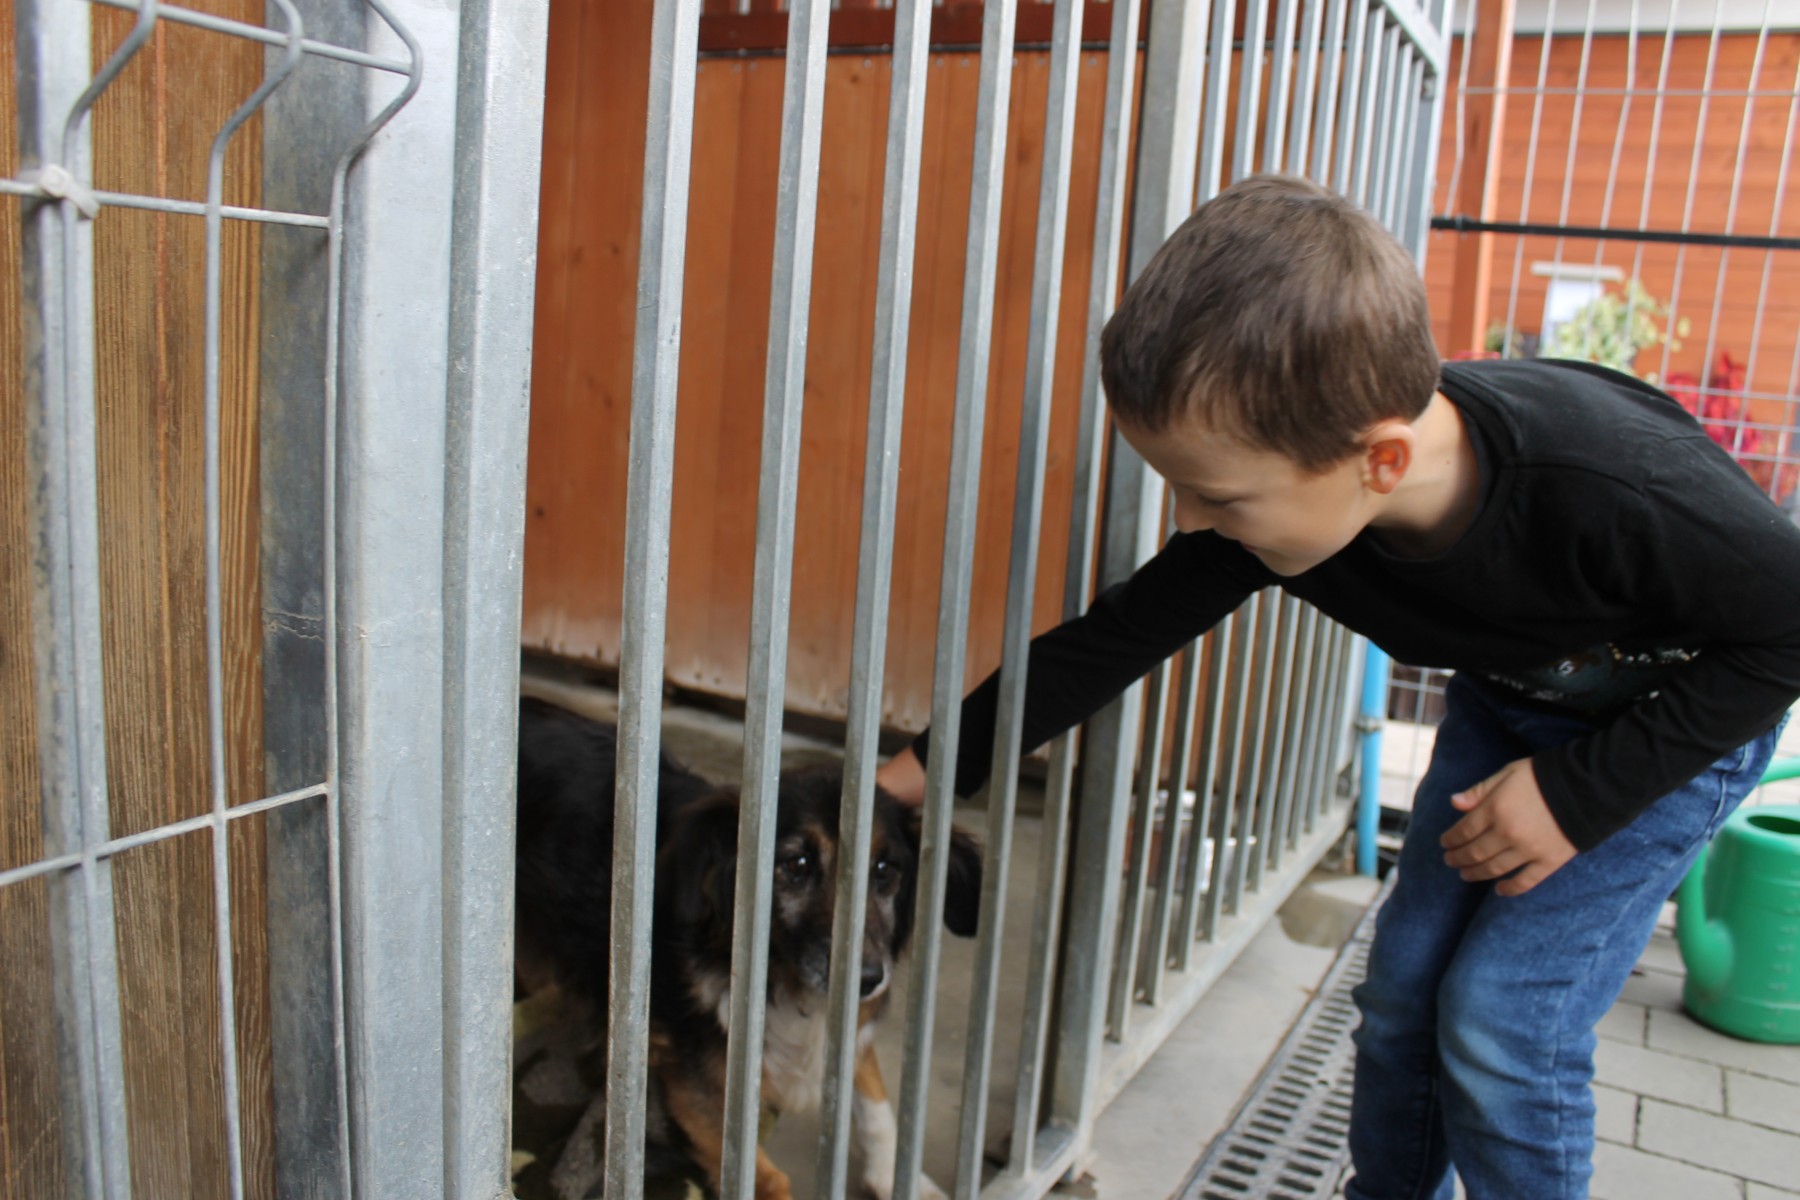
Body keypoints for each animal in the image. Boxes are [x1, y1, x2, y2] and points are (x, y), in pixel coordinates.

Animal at [513, 695, 982, 1200]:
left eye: (884, 869)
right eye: (796, 864)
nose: (867, 981)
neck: (779, 975)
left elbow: (874, 1096)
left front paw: (897, 1173)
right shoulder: (696, 1078)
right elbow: (767, 1177)